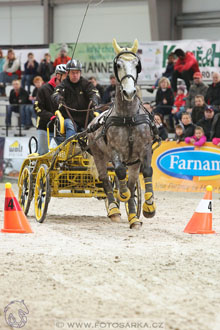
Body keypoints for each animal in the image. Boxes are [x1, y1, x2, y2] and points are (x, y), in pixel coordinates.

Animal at [87, 38, 156, 228]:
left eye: (136, 64)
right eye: (118, 65)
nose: (130, 92)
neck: (128, 117)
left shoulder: (144, 148)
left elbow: (147, 171)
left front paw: (149, 207)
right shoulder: (115, 150)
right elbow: (118, 172)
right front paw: (122, 194)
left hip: (133, 162)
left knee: (131, 183)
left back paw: (133, 218)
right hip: (99, 155)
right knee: (105, 179)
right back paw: (114, 210)